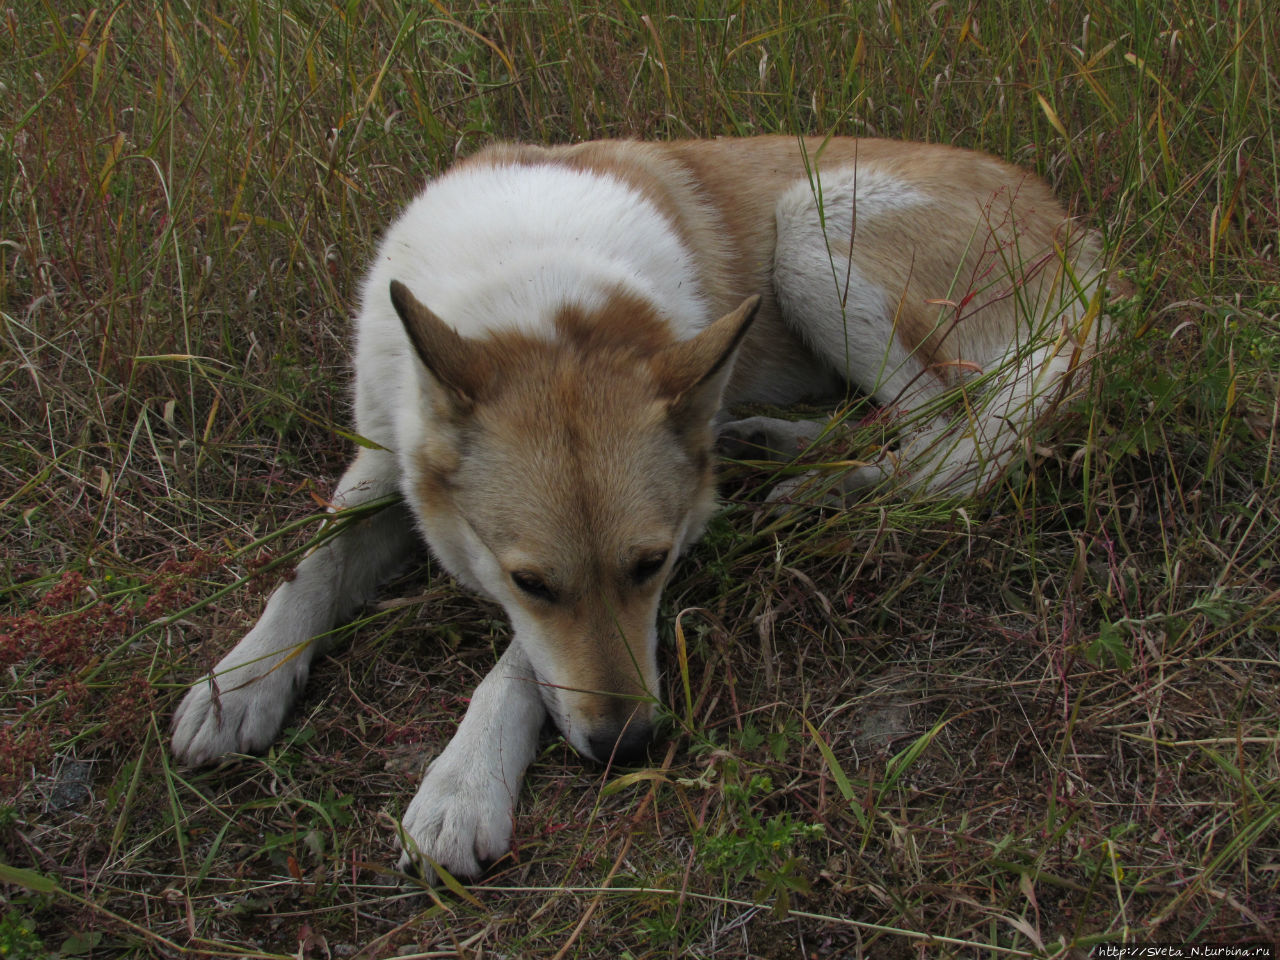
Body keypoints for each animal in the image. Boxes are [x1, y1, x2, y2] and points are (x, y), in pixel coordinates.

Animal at [170, 138, 1111, 885]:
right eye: (531, 581)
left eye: (653, 566)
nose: (628, 748)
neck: (537, 291)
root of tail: (1080, 235)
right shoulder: (382, 467)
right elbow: (307, 570)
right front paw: (239, 682)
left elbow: (517, 669)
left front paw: (462, 785)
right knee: (904, 419)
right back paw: (770, 444)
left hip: (814, 225)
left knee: (942, 425)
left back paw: (823, 488)